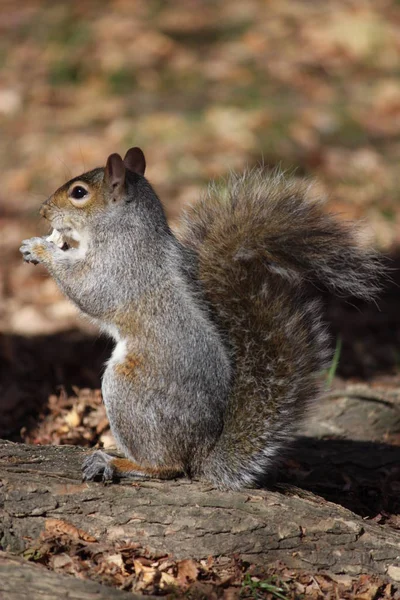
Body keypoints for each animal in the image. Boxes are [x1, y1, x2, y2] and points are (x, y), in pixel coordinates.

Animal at [20, 148, 382, 490]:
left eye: (79, 193)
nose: (42, 211)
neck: (123, 225)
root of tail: (202, 451)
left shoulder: (120, 266)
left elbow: (88, 288)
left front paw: (40, 248)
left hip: (129, 391)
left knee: (169, 467)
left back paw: (119, 463)